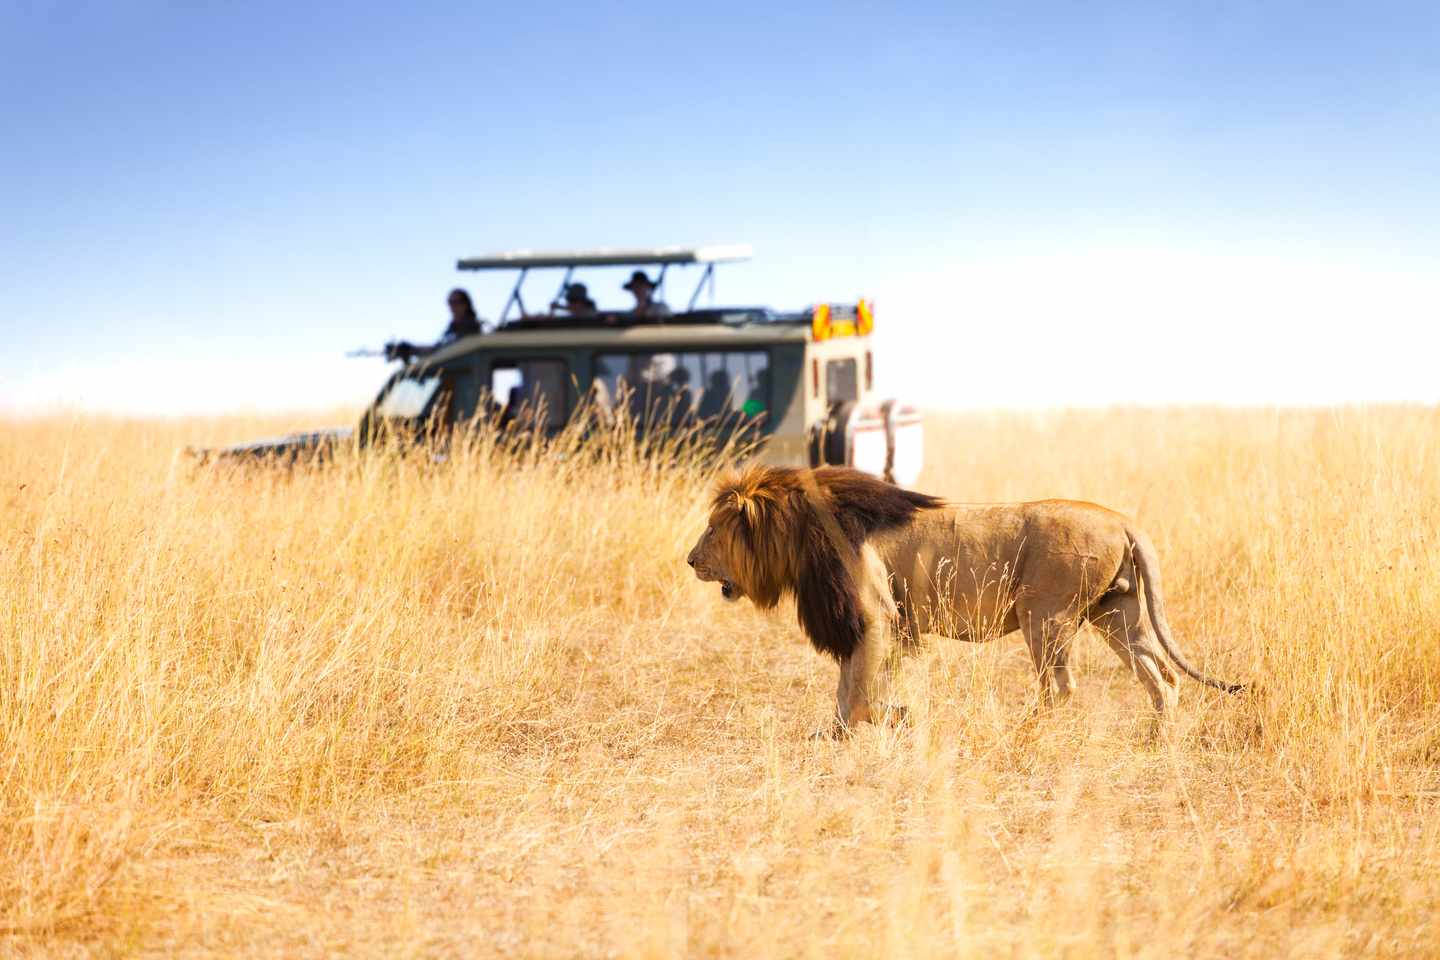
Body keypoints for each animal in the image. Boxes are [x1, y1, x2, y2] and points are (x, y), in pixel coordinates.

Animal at [686, 465, 1244, 734]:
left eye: (712, 529)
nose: (690, 560)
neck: (800, 532)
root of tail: (1123, 520)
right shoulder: (875, 624)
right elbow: (848, 691)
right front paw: (837, 734)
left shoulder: (875, 616)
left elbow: (860, 694)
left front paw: (898, 717)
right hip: (1116, 614)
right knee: (1163, 677)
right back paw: (1158, 740)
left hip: (1045, 615)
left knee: (1061, 687)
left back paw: (1021, 731)